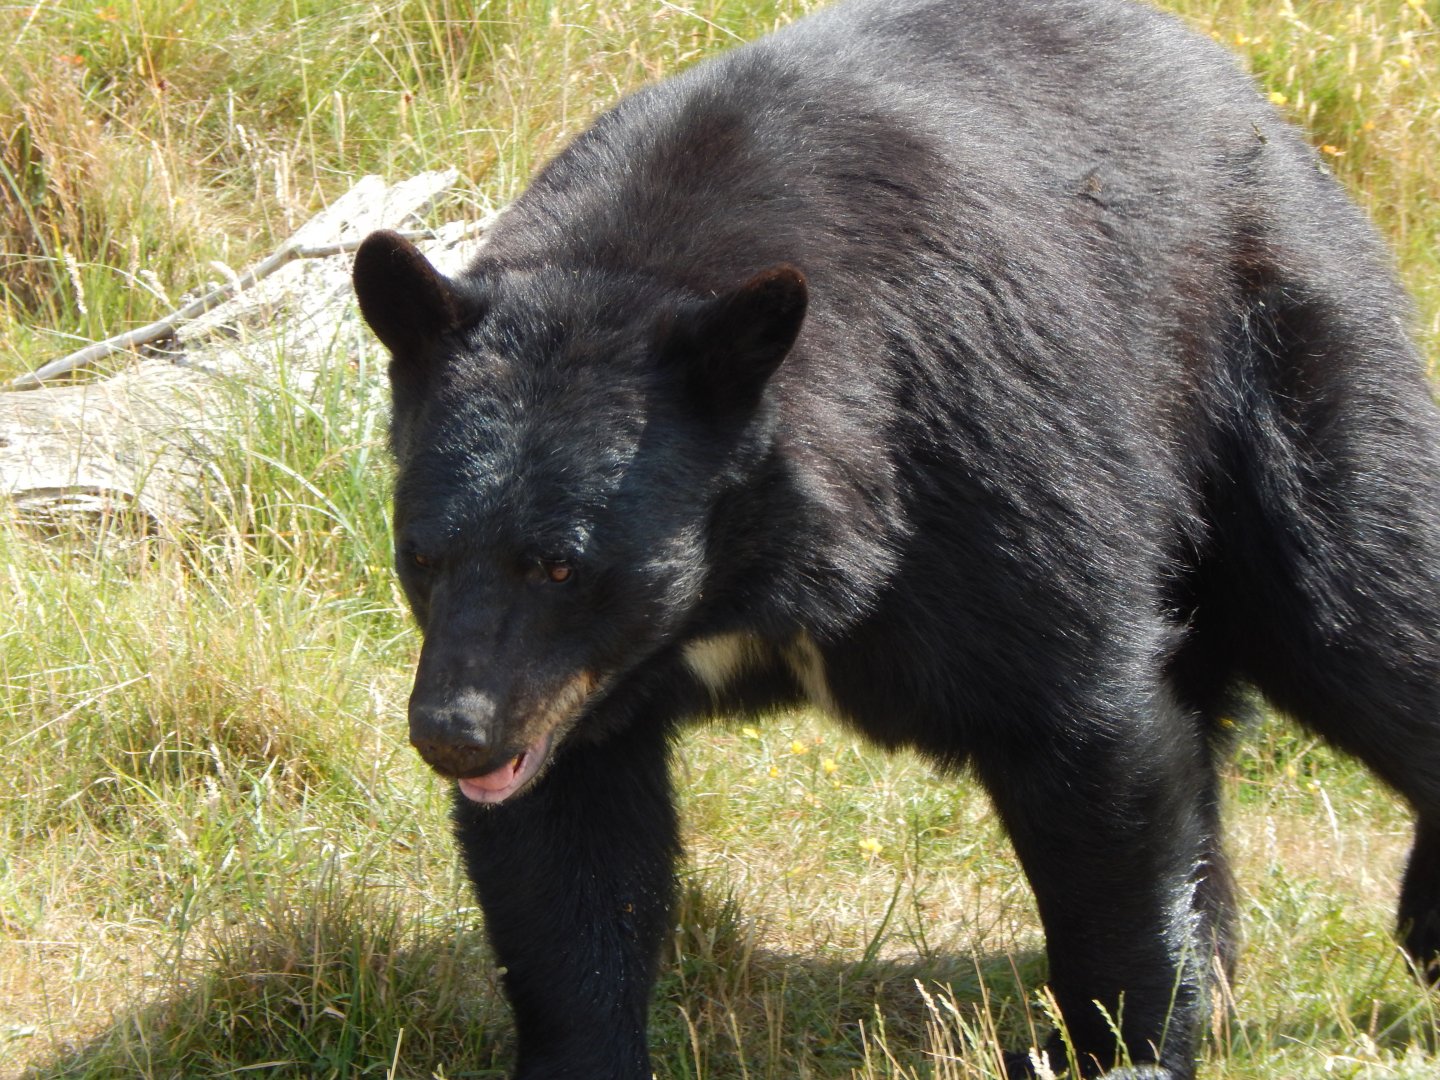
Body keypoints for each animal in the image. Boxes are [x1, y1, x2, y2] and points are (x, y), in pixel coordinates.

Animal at [351, 0, 1440, 1076]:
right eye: (423, 557)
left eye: (562, 564)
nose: (453, 732)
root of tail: (1251, 95)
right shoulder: (578, 687)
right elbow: (570, 846)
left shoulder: (976, 460)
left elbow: (1087, 733)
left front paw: (1120, 1043)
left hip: (1271, 355)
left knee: (1357, 603)